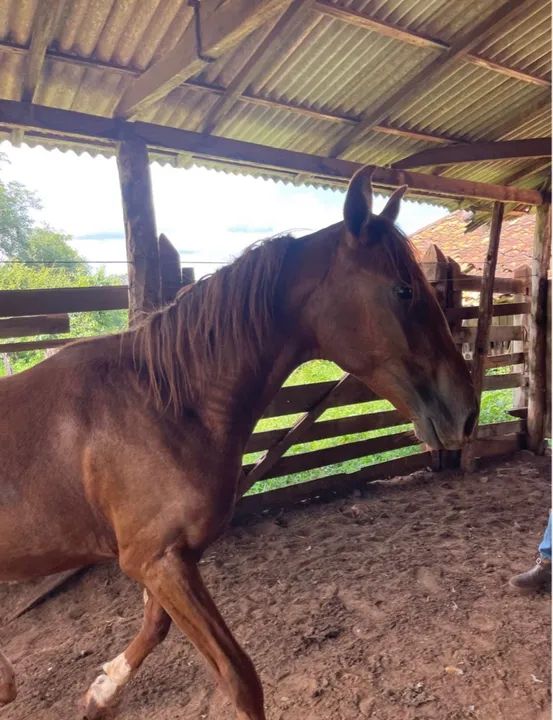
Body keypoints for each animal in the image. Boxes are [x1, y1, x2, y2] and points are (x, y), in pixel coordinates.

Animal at [0, 167, 477, 719]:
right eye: (403, 290)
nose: (466, 412)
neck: (163, 405)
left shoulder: (167, 558)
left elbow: (155, 627)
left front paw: (103, 689)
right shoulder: (156, 560)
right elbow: (239, 676)